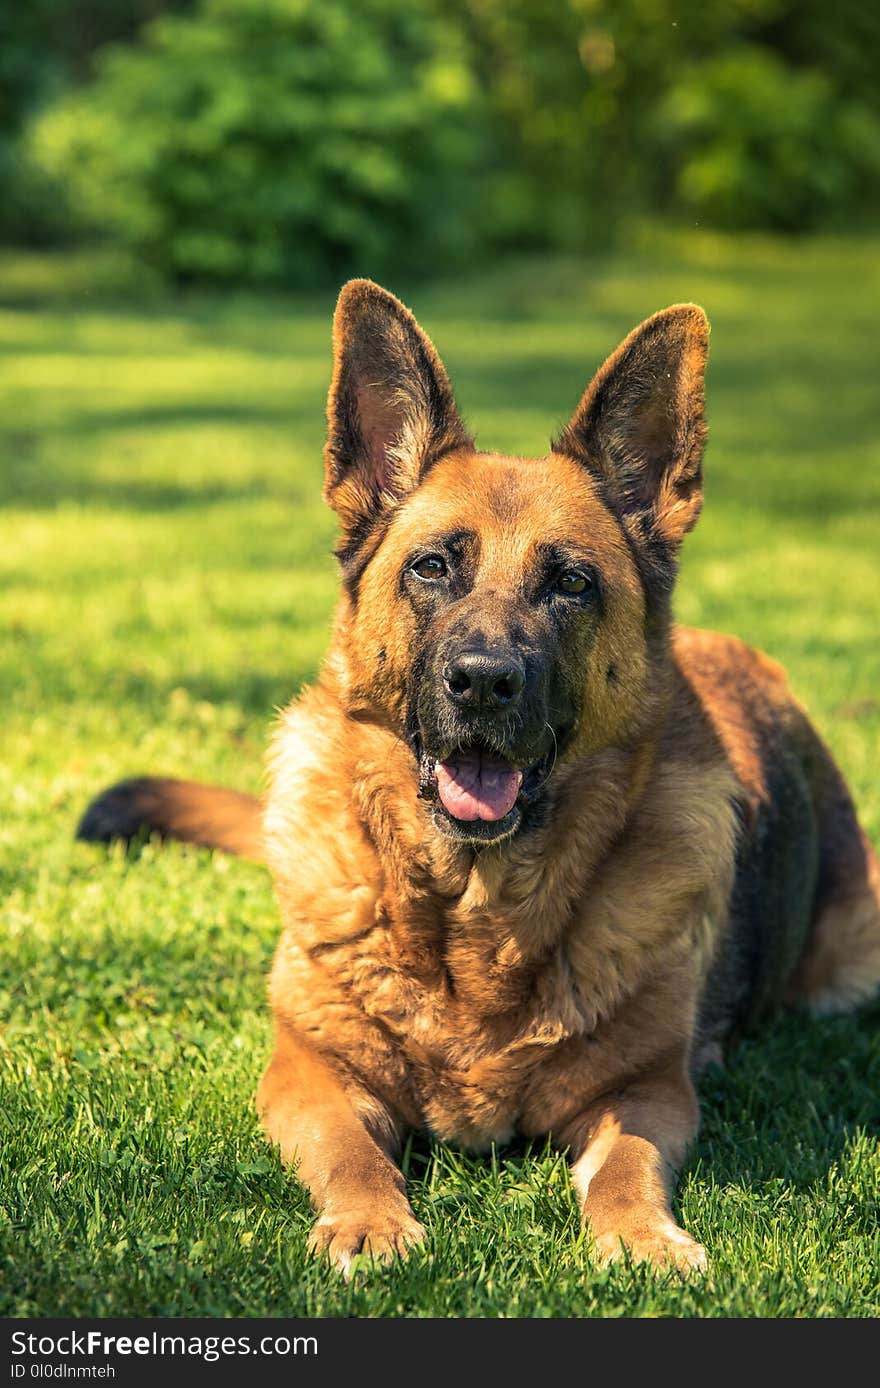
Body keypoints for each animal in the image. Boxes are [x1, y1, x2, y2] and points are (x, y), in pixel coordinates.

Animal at [78, 278, 877, 1271]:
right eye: (432, 567)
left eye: (571, 583)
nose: (484, 682)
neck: (473, 914)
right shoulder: (307, 1073)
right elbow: (349, 1153)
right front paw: (369, 1221)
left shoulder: (647, 1094)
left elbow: (628, 1165)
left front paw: (643, 1239)